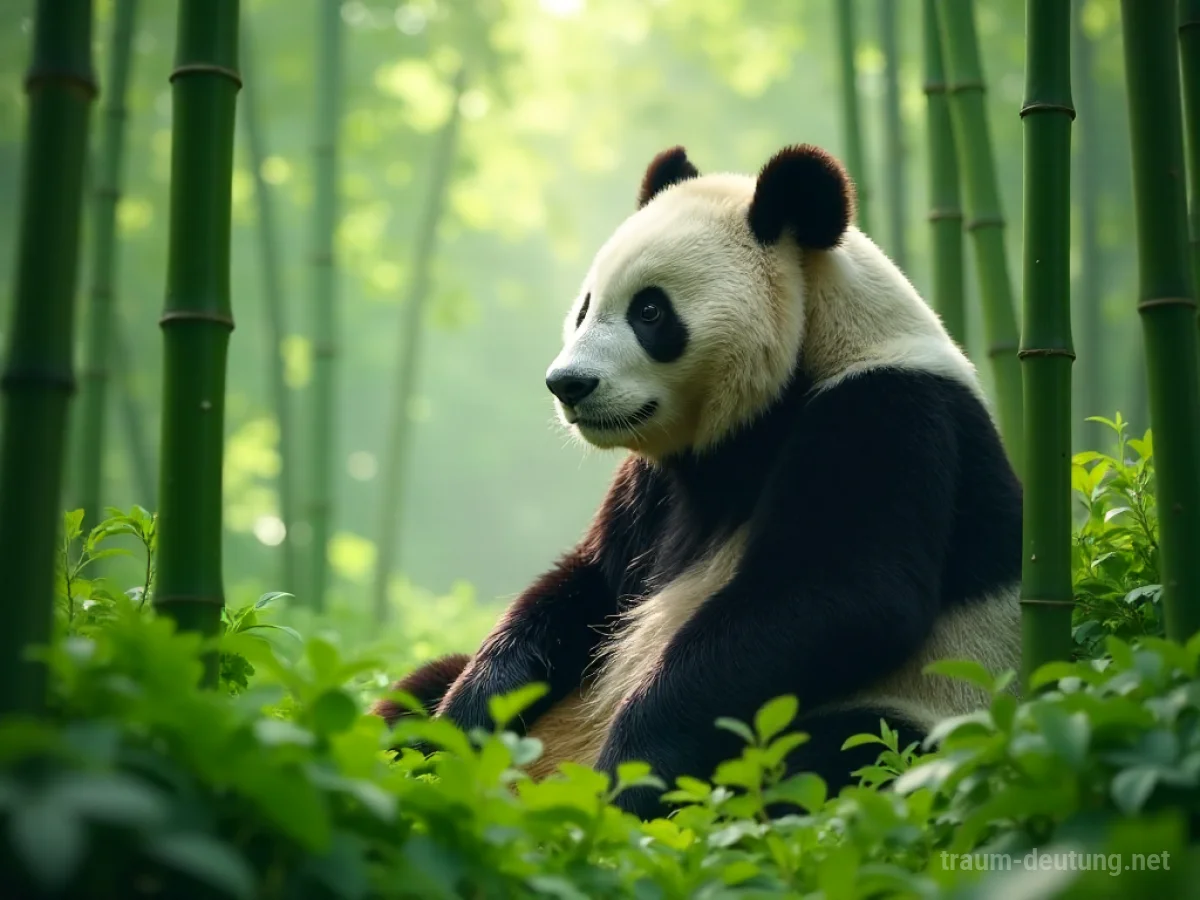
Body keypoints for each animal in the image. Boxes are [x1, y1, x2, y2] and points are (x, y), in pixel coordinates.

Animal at [371, 143, 1023, 820]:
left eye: (649, 311)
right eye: (584, 307)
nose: (568, 384)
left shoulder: (887, 411)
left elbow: (842, 595)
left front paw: (631, 780)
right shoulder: (654, 482)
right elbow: (589, 585)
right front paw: (463, 728)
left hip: (935, 705)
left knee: (838, 753)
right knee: (419, 686)